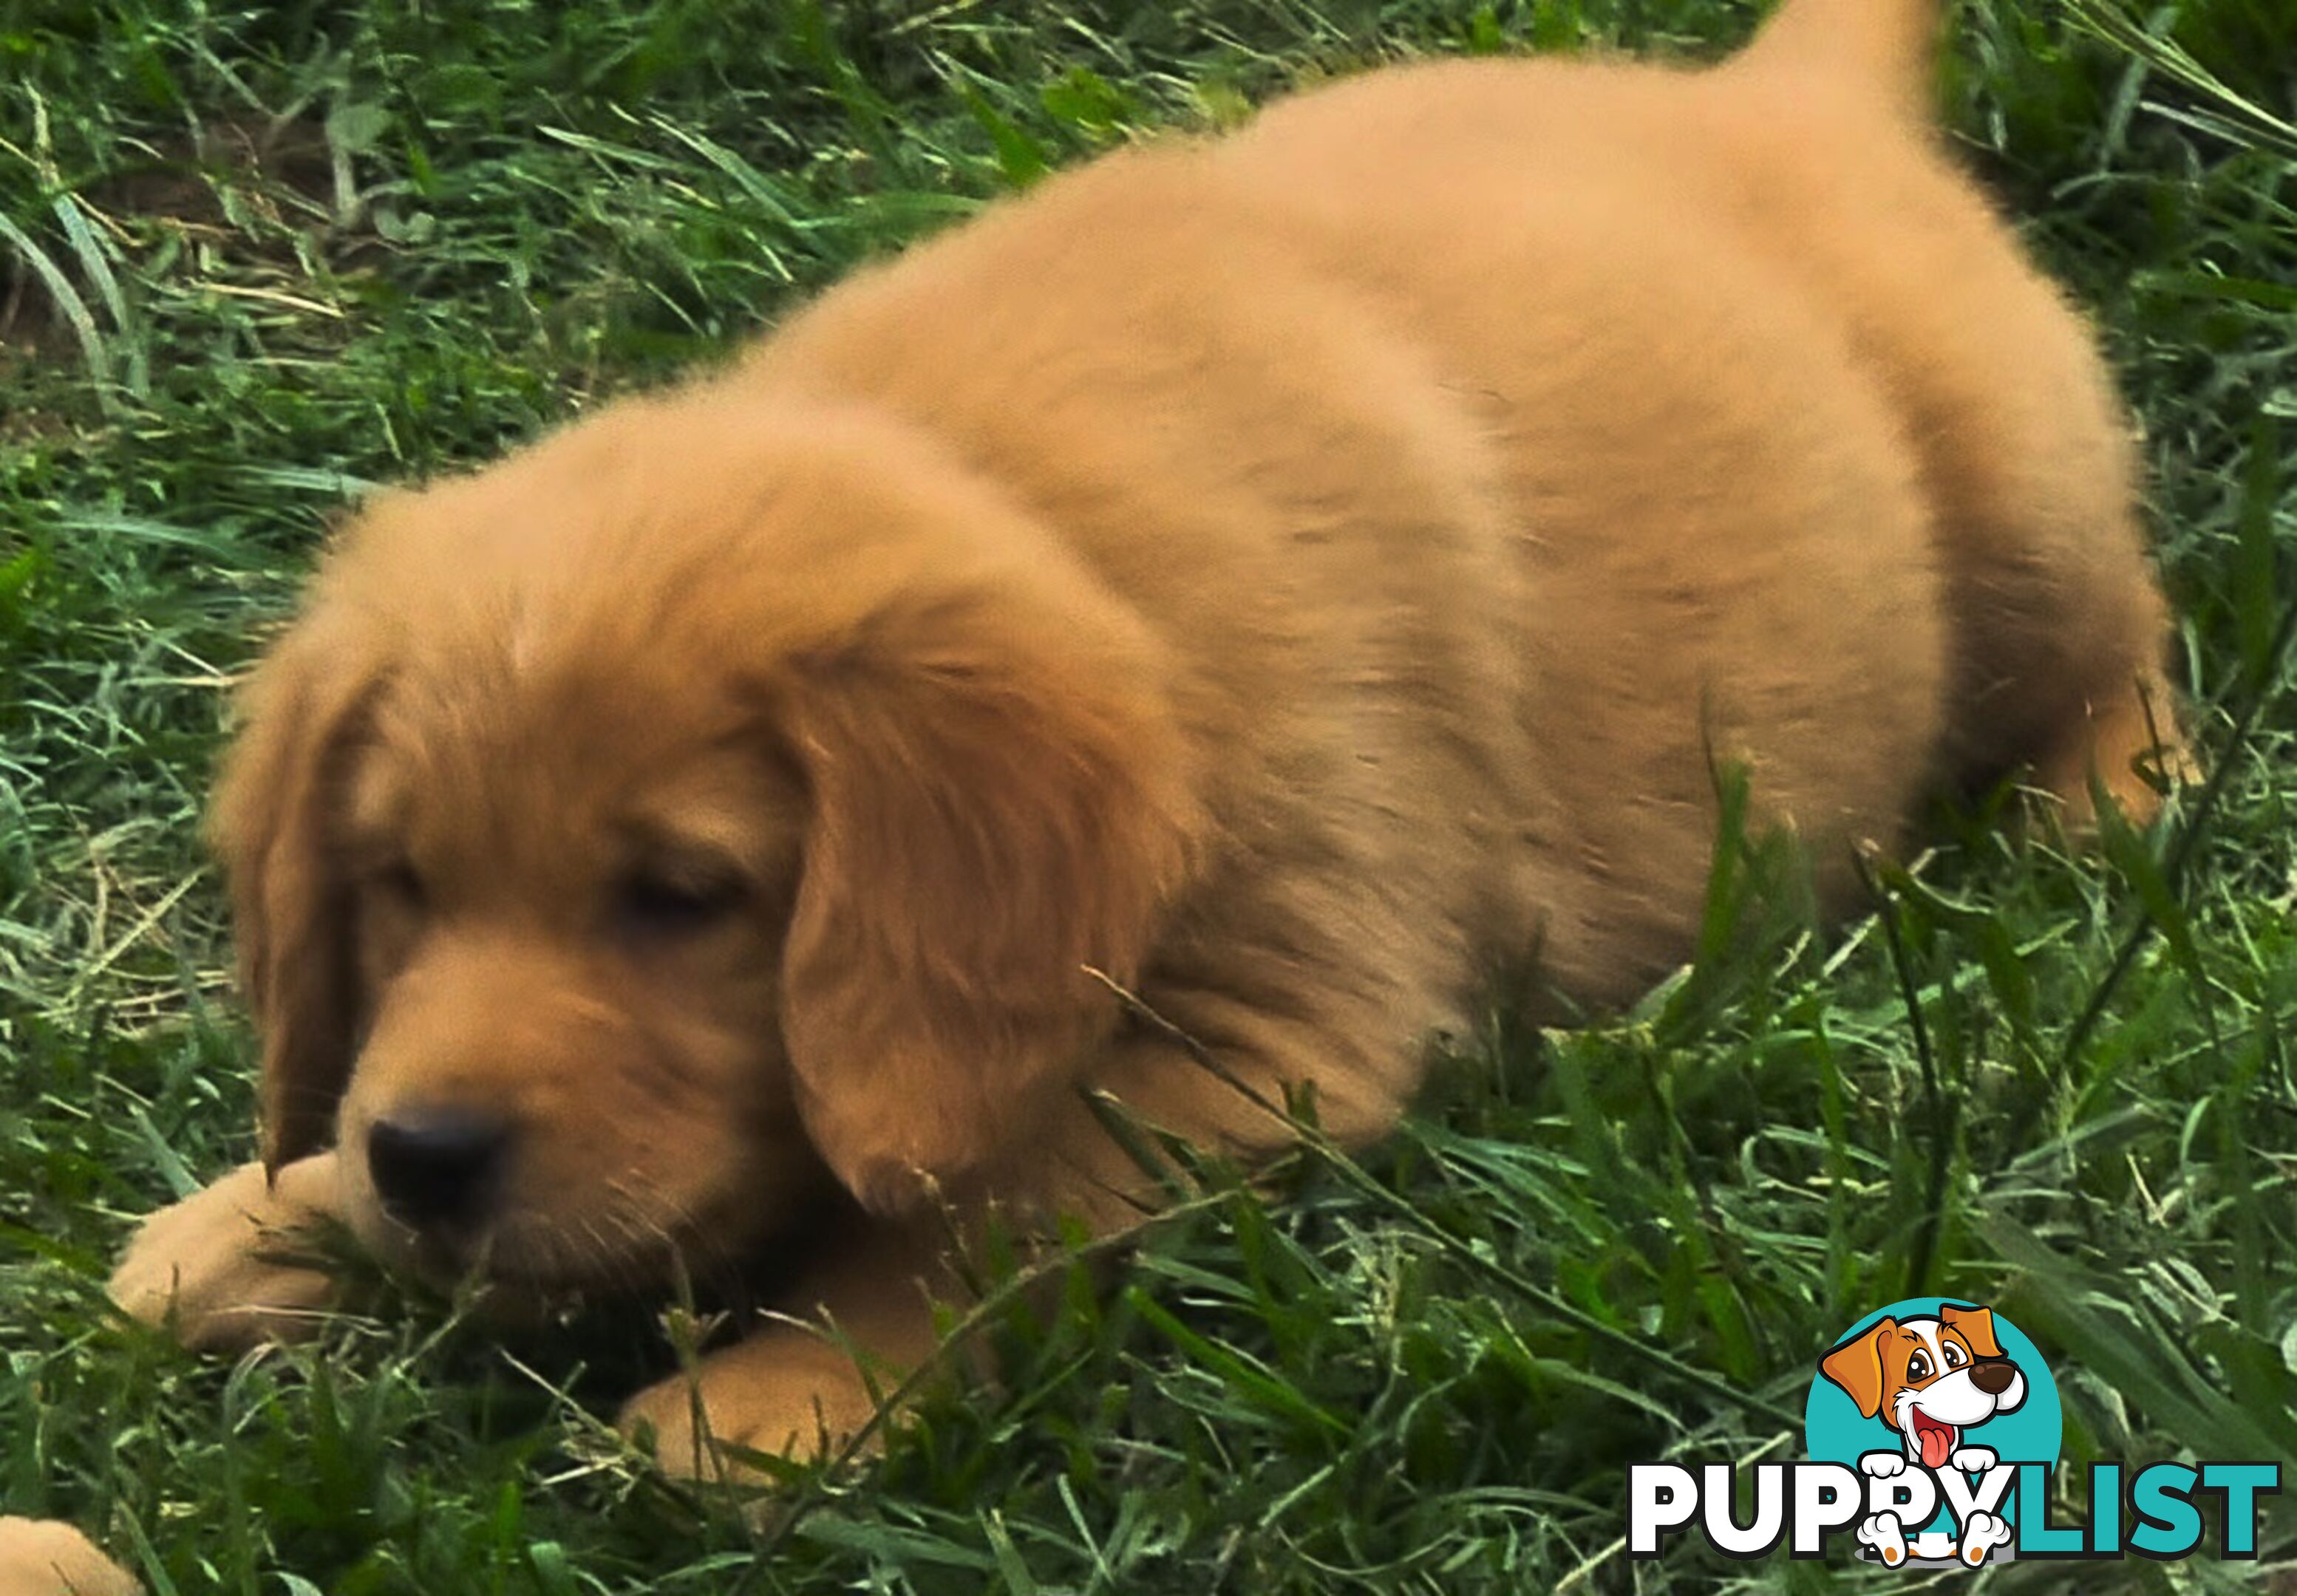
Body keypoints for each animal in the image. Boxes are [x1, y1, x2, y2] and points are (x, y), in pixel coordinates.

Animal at [112, 0, 2186, 1487]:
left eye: (682, 895)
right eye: (395, 883)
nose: (429, 1157)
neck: (1034, 507)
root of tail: (1776, 99)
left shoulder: (1264, 1040)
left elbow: (984, 1214)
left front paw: (775, 1397)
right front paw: (260, 1219)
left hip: (2020, 502)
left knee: (2131, 633)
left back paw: (2105, 802)